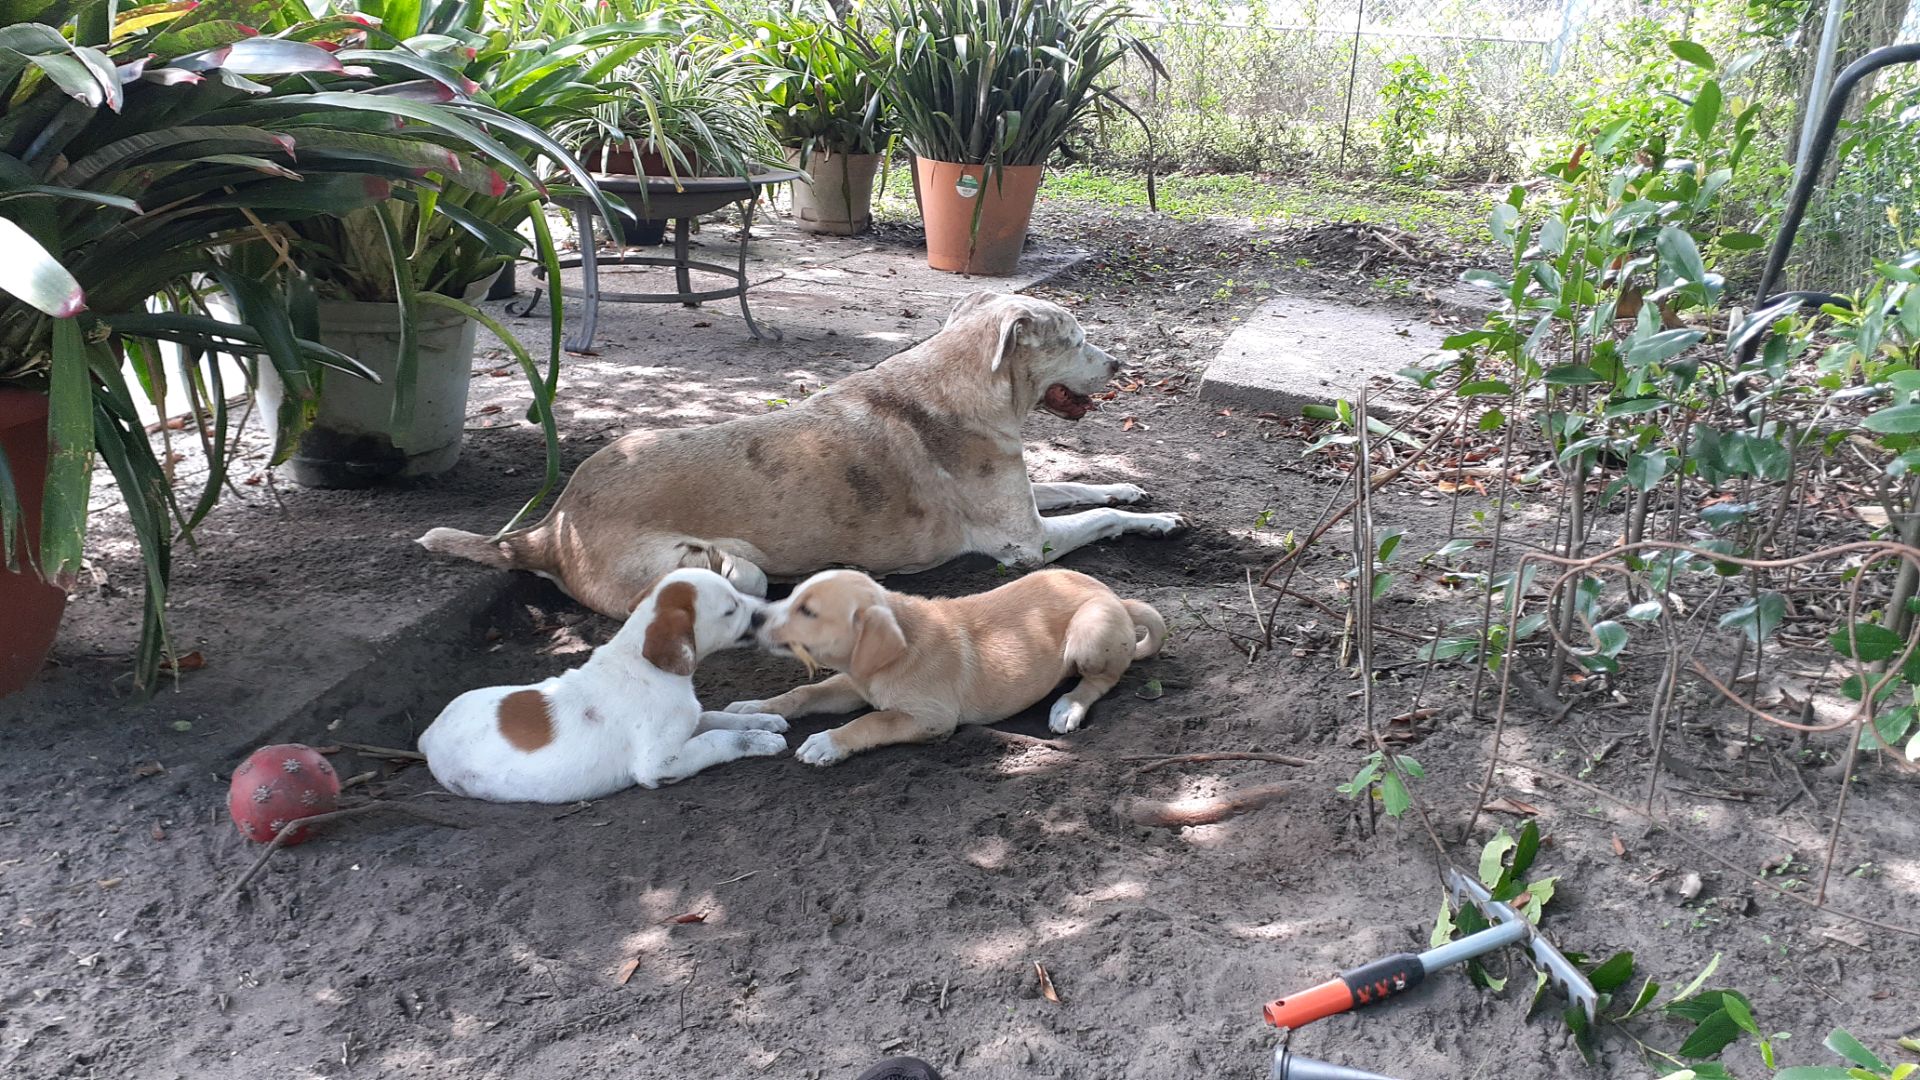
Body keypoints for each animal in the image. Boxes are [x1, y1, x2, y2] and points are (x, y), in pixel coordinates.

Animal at [416, 291, 1184, 619]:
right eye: (1076, 339)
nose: (1119, 365)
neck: (967, 383)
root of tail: (550, 528)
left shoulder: (1026, 499)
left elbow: (1076, 486)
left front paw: (1127, 488)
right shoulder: (1026, 543)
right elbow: (1097, 521)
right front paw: (1157, 521)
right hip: (695, 568)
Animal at [417, 569, 789, 803]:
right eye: (731, 609)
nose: (765, 611)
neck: (644, 665)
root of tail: (428, 732)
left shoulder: (687, 722)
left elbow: (718, 718)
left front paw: (761, 719)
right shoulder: (658, 763)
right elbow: (717, 739)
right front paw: (760, 739)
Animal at [723, 568, 1166, 766]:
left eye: (809, 611)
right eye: (793, 596)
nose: (756, 618)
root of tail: (1117, 598)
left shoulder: (932, 718)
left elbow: (872, 721)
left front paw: (827, 742)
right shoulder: (854, 683)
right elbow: (805, 692)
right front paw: (754, 709)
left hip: (1089, 632)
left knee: (1103, 679)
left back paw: (1068, 706)